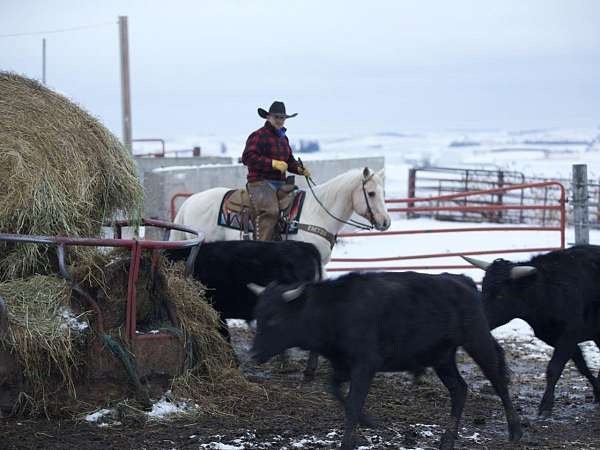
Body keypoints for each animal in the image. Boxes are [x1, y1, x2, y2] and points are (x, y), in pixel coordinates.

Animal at [248, 270, 520, 450]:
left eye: (274, 317)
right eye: (258, 314)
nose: (253, 355)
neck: (334, 310)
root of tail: (462, 280)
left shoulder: (365, 364)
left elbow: (352, 402)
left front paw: (348, 442)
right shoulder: (342, 364)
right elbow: (335, 390)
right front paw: (368, 421)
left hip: (477, 341)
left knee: (498, 381)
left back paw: (515, 430)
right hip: (442, 357)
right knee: (459, 389)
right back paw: (447, 439)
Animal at [466, 244, 600, 416]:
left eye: (500, 294)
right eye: (483, 288)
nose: (476, 318)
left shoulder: (569, 335)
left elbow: (554, 368)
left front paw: (546, 405)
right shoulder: (556, 338)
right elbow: (582, 365)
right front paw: (597, 391)